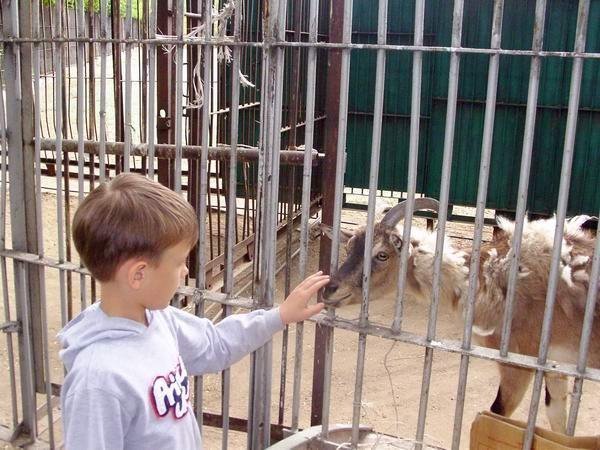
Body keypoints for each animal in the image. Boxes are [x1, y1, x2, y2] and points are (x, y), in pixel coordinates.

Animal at [324, 200, 600, 432]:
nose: (330, 290)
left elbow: (496, 416)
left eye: (382, 254)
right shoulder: (555, 365)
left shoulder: (519, 360)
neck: (487, 278)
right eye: (349, 247)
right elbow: (557, 420)